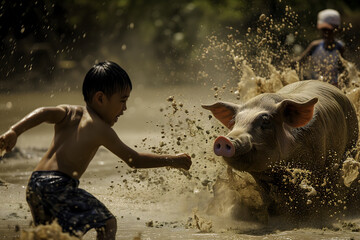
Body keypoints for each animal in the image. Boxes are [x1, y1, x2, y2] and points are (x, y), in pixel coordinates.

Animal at [204, 80, 358, 218]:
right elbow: (267, 197)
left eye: (265, 121)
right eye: (235, 121)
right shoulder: (259, 177)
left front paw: (305, 216)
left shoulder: (315, 166)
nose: (224, 139)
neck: (276, 170)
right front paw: (272, 213)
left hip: (352, 143)